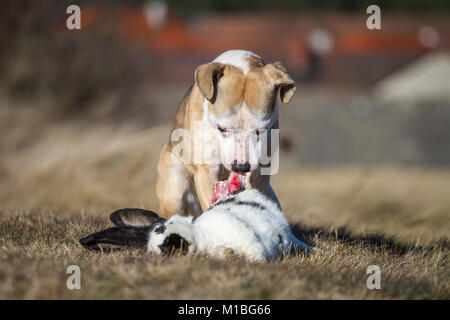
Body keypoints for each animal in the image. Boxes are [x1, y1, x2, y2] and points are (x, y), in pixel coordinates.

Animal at [79, 189, 314, 262]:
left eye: (165, 229)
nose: (173, 245)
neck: (203, 239)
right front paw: (229, 254)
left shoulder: (247, 238)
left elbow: (255, 250)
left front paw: (259, 262)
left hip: (289, 237)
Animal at [155, 50, 296, 220]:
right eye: (222, 128)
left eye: (260, 130)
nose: (241, 166)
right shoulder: (206, 169)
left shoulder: (260, 170)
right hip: (174, 186)